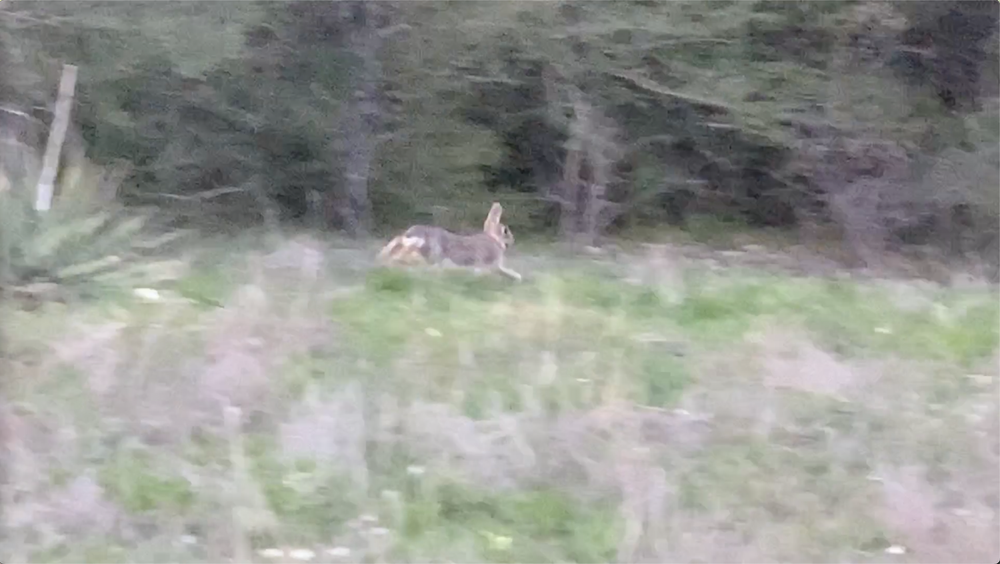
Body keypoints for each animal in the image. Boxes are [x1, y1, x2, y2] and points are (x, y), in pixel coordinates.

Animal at [376, 203, 524, 282]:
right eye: (505, 231)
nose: (513, 240)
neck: (493, 238)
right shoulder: (492, 264)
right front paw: (517, 277)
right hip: (429, 254)